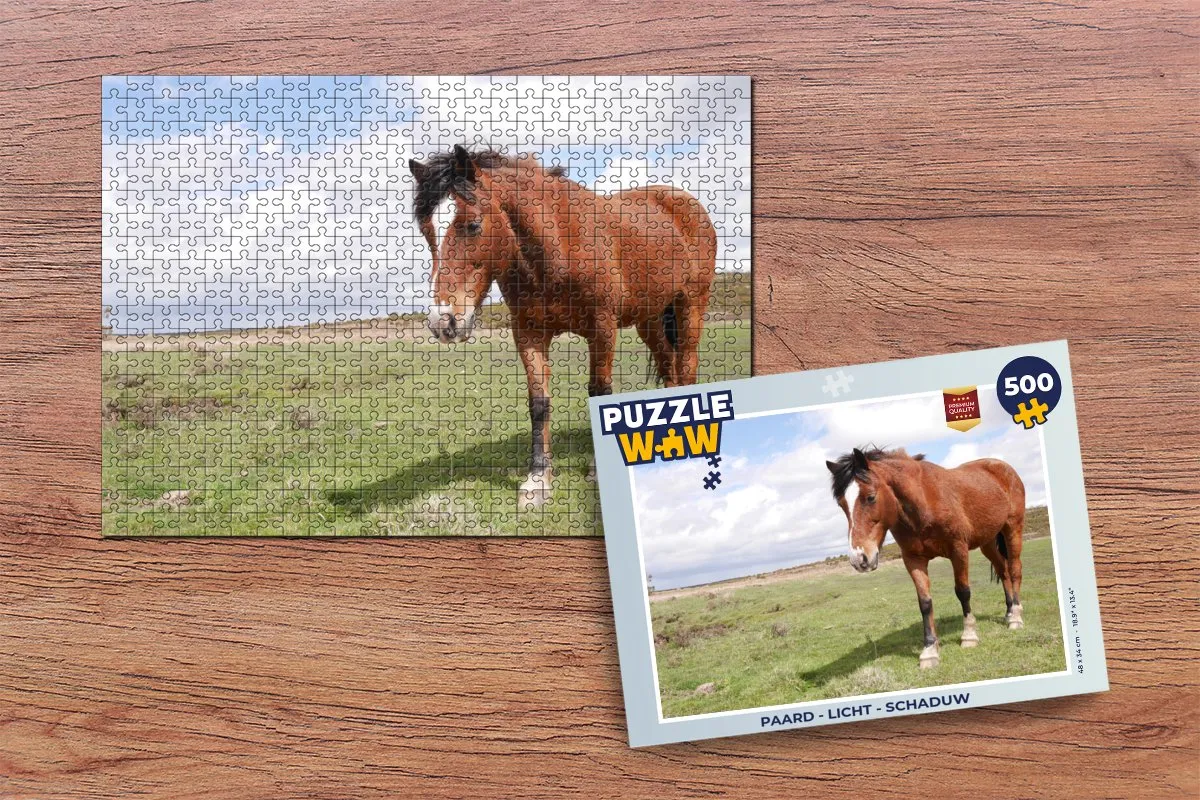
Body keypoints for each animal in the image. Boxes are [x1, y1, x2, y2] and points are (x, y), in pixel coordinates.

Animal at [408, 145, 717, 509]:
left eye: (472, 224)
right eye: (427, 231)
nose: (443, 321)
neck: (557, 246)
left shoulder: (603, 328)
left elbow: (600, 393)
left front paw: (596, 471)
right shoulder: (528, 333)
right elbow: (539, 404)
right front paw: (538, 480)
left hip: (690, 306)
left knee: (686, 365)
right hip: (650, 319)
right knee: (669, 366)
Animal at [826, 447, 1027, 669]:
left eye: (870, 497)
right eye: (842, 504)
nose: (859, 559)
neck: (923, 504)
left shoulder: (959, 550)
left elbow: (963, 592)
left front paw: (969, 636)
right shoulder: (913, 559)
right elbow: (925, 602)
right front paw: (930, 651)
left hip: (1013, 529)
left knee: (1014, 570)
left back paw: (1016, 616)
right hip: (987, 542)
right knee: (1003, 571)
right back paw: (1009, 612)